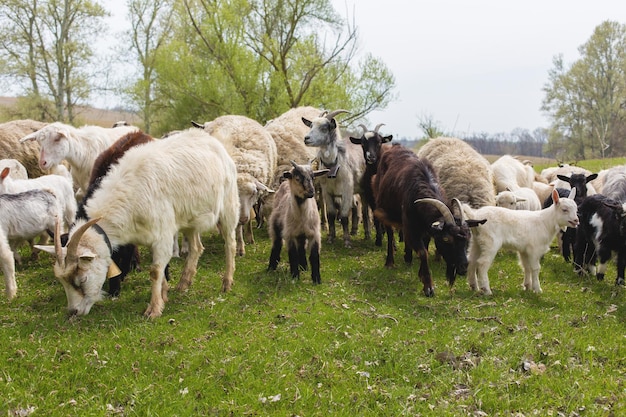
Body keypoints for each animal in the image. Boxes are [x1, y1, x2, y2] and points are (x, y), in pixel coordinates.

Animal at [34, 128, 239, 316]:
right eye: (62, 281)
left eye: (81, 279)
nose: (73, 312)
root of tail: (211, 140)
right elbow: (160, 270)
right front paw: (164, 294)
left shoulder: (162, 235)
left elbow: (155, 271)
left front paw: (153, 310)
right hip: (190, 218)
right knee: (196, 247)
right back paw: (183, 283)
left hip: (228, 205)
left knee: (230, 243)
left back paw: (227, 283)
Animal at [302, 109, 366, 249]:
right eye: (311, 125)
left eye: (324, 128)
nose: (306, 138)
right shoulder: (327, 192)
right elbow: (331, 215)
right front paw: (331, 238)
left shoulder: (347, 190)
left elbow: (344, 216)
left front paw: (347, 242)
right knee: (355, 206)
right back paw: (354, 230)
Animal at [370, 143, 482, 296]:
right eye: (446, 239)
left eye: (467, 240)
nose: (463, 268)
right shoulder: (411, 226)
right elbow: (423, 252)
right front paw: (428, 286)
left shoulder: (426, 228)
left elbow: (426, 248)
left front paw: (420, 273)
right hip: (384, 208)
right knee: (390, 233)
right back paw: (390, 262)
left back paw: (408, 258)